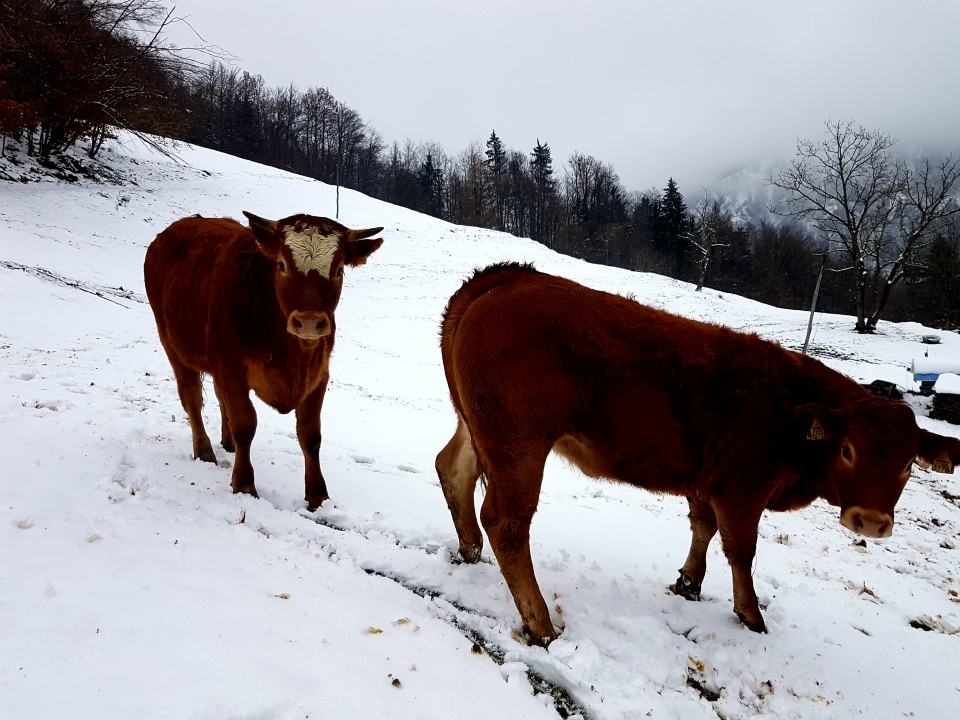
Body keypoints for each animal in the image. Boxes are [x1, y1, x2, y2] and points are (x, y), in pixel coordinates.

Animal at [142, 211, 382, 510]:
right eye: (281, 264)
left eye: (338, 270)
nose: (309, 322)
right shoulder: (230, 367)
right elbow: (245, 425)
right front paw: (244, 484)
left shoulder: (318, 375)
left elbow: (310, 436)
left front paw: (318, 496)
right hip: (172, 343)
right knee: (192, 398)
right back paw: (204, 449)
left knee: (219, 398)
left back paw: (227, 442)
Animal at [436, 262, 960, 644]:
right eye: (848, 449)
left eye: (908, 464)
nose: (870, 521)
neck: (789, 407)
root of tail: (511, 278)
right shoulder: (743, 489)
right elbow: (741, 552)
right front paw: (750, 615)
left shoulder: (707, 480)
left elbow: (702, 529)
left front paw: (688, 581)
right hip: (518, 442)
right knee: (507, 522)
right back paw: (541, 623)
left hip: (477, 427)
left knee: (453, 469)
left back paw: (469, 551)